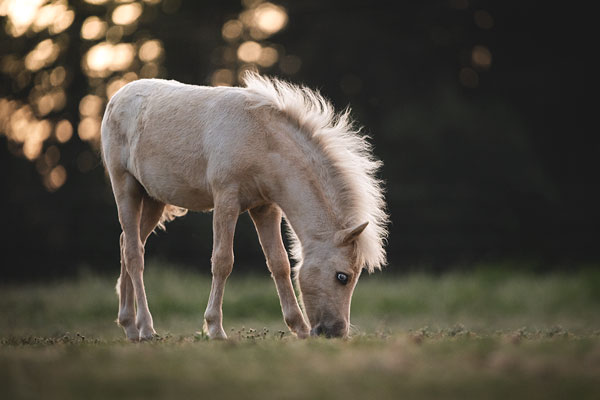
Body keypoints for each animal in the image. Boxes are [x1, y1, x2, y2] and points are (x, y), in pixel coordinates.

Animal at [100, 72, 386, 340]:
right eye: (342, 277)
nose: (335, 332)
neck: (261, 139)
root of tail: (117, 97)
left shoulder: (265, 208)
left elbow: (279, 263)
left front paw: (299, 328)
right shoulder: (226, 200)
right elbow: (223, 261)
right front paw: (215, 328)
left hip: (152, 200)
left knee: (127, 243)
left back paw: (129, 326)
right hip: (125, 188)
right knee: (134, 253)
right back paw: (145, 328)